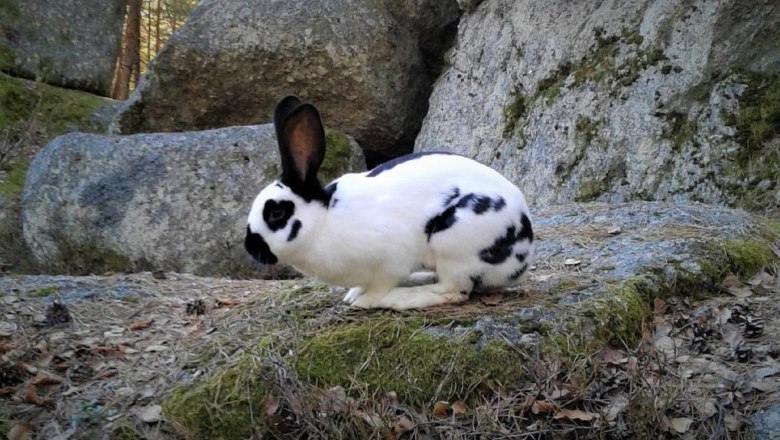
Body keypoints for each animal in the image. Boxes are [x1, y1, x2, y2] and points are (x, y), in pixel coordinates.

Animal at [247, 95, 532, 310]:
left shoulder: (390, 262)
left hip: (455, 239)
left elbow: (380, 286)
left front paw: (364, 301)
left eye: (276, 213)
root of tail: (523, 254)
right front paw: (353, 294)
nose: (251, 247)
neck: (323, 221)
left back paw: (404, 297)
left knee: (453, 290)